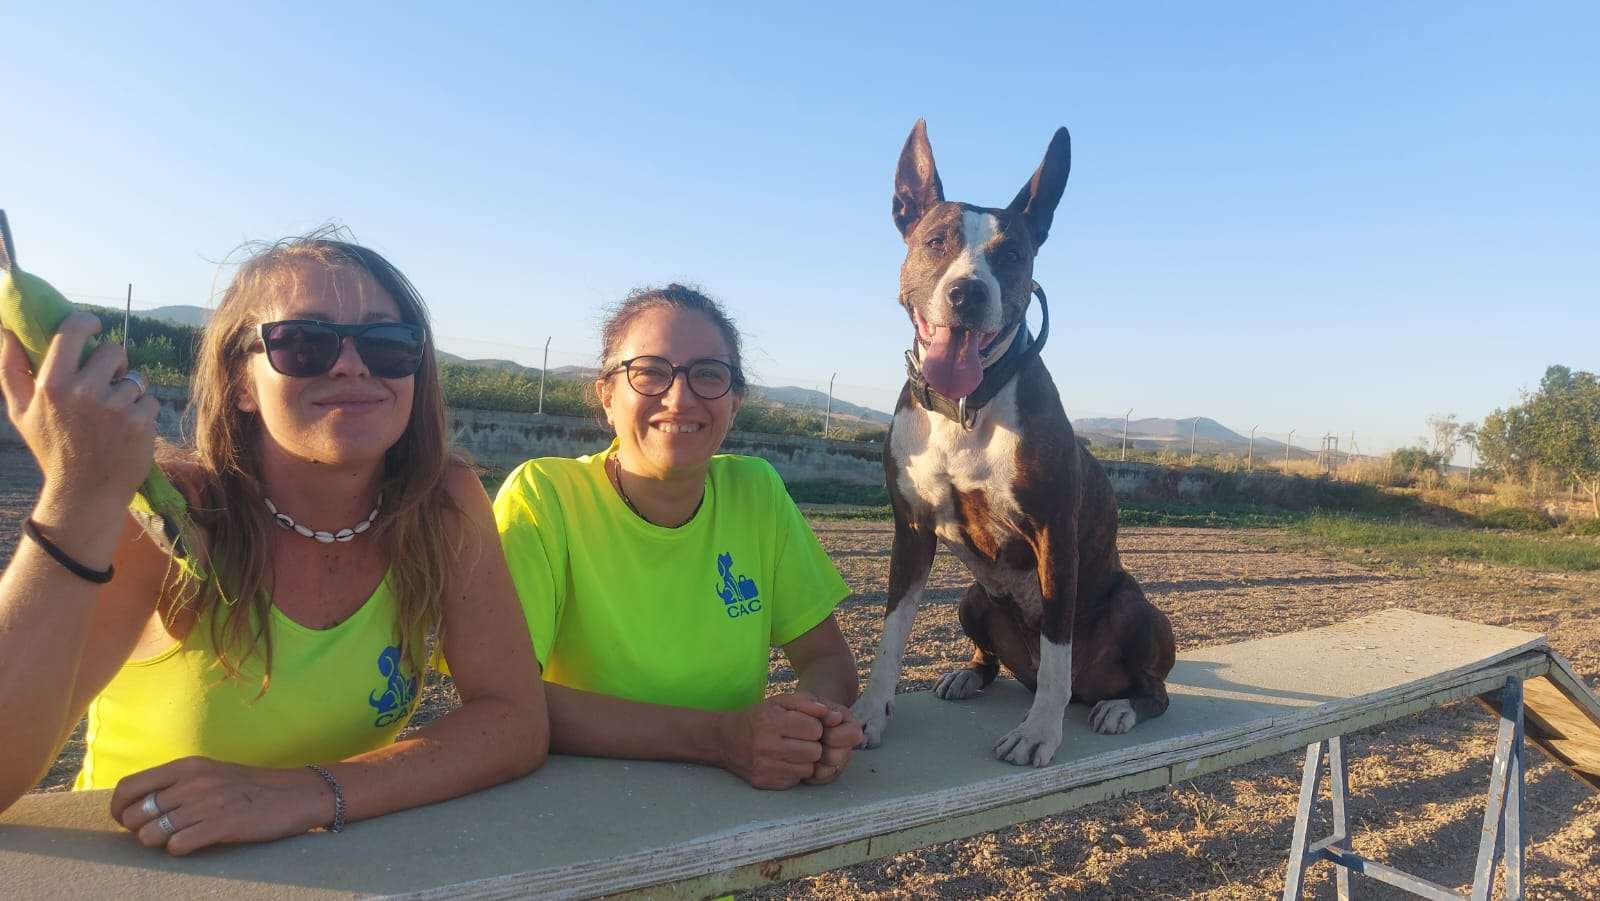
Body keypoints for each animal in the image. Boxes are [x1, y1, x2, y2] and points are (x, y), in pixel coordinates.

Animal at [851, 120, 1177, 768]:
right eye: (936, 242)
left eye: (1012, 256)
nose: (967, 293)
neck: (966, 408)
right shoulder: (912, 531)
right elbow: (891, 633)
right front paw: (871, 713)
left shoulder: (1055, 535)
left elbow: (1057, 652)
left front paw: (1038, 733)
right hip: (973, 599)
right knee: (998, 658)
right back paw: (969, 675)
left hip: (1132, 605)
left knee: (1142, 685)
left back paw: (1120, 707)